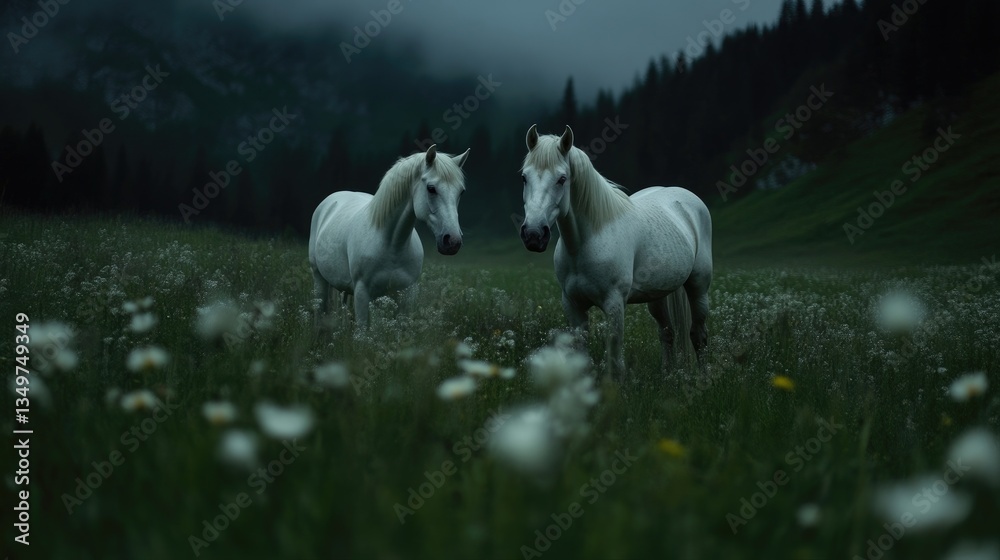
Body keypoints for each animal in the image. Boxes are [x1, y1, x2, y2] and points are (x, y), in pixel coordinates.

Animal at [309, 144, 470, 327]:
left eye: (461, 192)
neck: (393, 244)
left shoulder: (406, 295)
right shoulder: (362, 293)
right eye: (431, 188)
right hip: (319, 279)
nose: (453, 241)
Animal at [518, 125, 712, 377]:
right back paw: (667, 375)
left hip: (698, 285)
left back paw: (705, 378)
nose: (533, 235)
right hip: (658, 295)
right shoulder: (572, 304)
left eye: (562, 179)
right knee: (667, 332)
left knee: (698, 336)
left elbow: (615, 359)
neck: (586, 242)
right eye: (524, 177)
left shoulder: (614, 303)